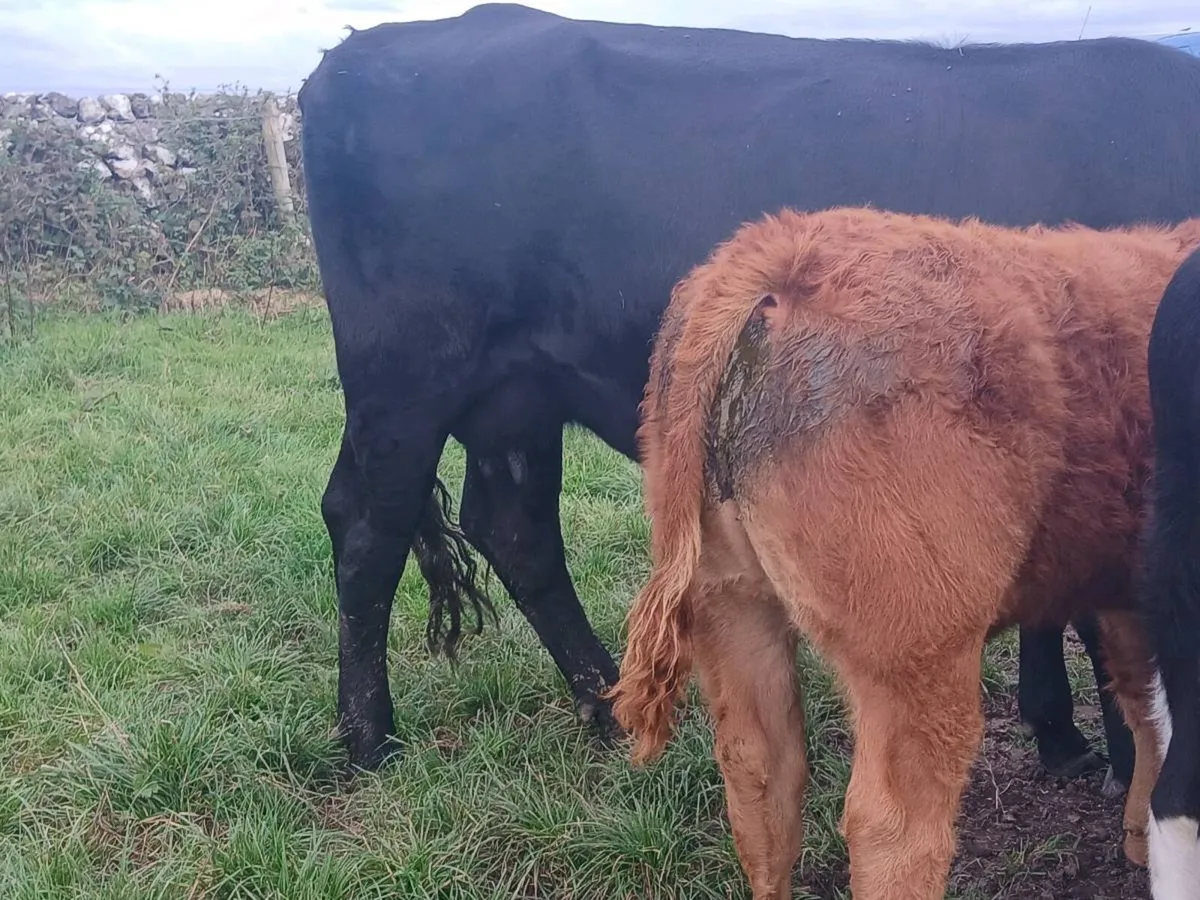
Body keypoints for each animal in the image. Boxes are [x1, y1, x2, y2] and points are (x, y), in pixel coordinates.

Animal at [295, 0, 1200, 773]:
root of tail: (357, 53)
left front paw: (1062, 736)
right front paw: (1122, 764)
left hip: (512, 392)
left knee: (512, 526)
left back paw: (604, 706)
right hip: (406, 374)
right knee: (369, 526)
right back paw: (370, 738)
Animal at [608, 207, 1200, 900]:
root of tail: (780, 248)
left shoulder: (1128, 594)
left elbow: (1141, 703)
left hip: (731, 606)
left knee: (760, 779)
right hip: (916, 654)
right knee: (893, 829)